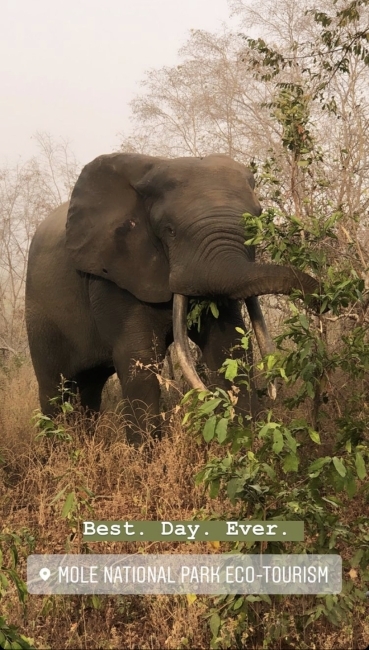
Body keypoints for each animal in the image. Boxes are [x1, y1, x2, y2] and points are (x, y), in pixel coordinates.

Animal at [26, 149, 320, 438]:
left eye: (256, 220)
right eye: (169, 230)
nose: (321, 301)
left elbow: (227, 345)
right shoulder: (113, 274)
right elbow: (139, 360)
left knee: (89, 390)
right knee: (55, 391)